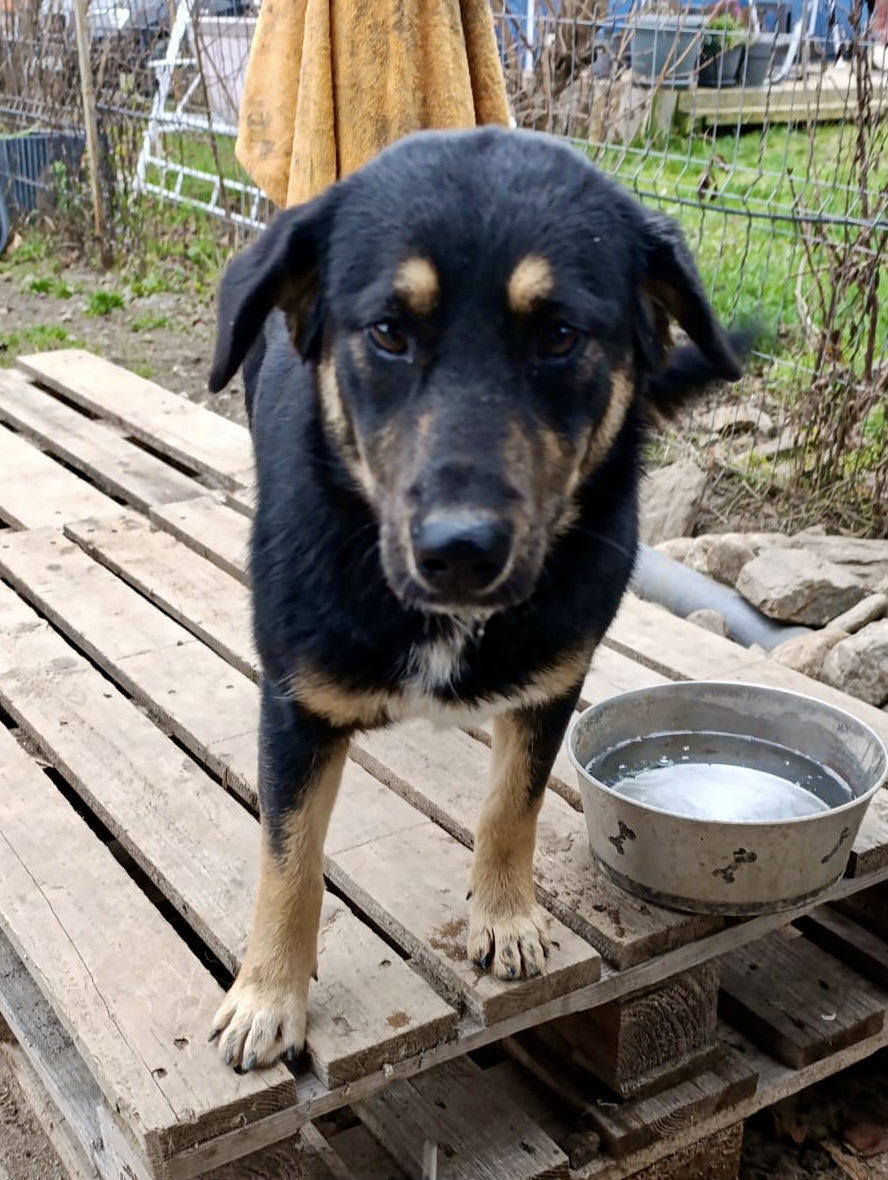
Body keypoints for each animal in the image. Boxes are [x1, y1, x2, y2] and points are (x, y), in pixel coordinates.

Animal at [207, 126, 753, 1072]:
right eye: (388, 332)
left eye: (561, 336)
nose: (459, 552)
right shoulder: (295, 707)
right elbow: (289, 859)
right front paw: (269, 993)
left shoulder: (553, 686)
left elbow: (512, 805)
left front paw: (504, 916)